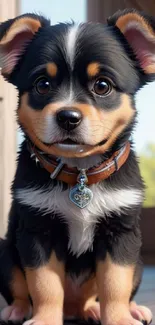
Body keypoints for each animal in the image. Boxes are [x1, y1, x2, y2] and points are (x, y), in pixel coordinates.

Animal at [0, 8, 154, 325]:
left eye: (102, 86)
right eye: (43, 84)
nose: (67, 117)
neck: (79, 171)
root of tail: (74, 309)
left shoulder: (120, 235)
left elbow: (115, 285)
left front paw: (119, 318)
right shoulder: (37, 232)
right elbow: (44, 285)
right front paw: (45, 319)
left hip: (138, 260)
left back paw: (120, 309)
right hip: (5, 252)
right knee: (20, 290)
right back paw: (17, 310)